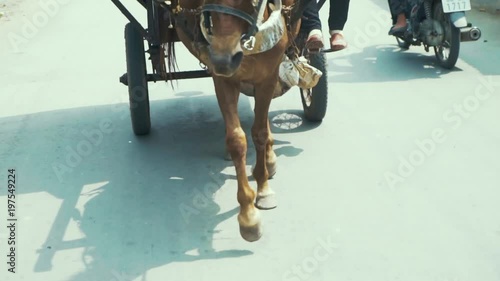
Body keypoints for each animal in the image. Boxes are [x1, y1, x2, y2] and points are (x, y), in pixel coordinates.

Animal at [172, 0, 312, 241]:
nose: (224, 60)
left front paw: (263, 188)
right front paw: (248, 216)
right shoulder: (223, 79)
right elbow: (237, 139)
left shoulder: (268, 77)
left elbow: (259, 133)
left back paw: (270, 157)